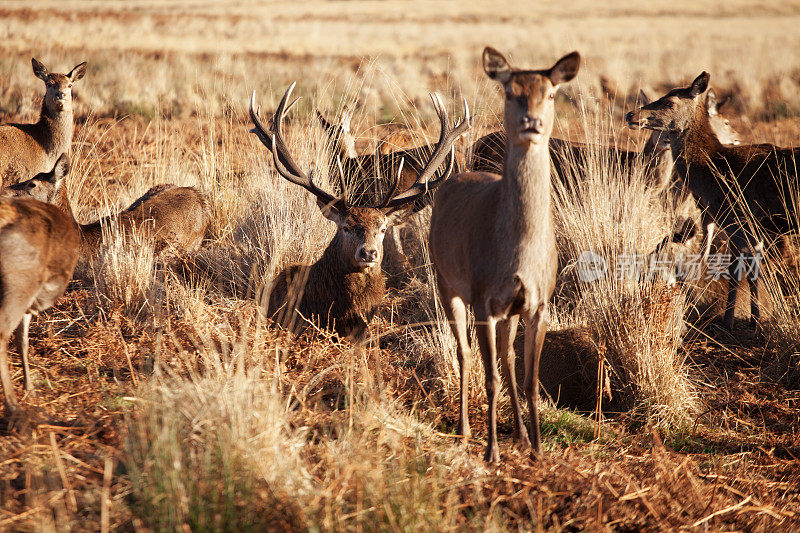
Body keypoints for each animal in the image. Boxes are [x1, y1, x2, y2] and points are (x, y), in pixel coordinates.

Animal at [432, 47, 580, 460]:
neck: (517, 255)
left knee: (507, 358)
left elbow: (529, 378)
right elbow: (490, 378)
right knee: (465, 352)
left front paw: (538, 447)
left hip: (509, 309)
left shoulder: (538, 302)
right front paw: (491, 451)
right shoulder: (483, 298)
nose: (532, 122)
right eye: (510, 93)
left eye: (551, 93)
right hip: (445, 281)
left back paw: (521, 435)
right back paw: (465, 429)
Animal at [628, 70, 796, 328]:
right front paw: (753, 318)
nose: (631, 115)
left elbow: (736, 270)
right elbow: (752, 270)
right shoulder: (752, 228)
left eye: (669, 102)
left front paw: (731, 321)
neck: (713, 171)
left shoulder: (736, 220)